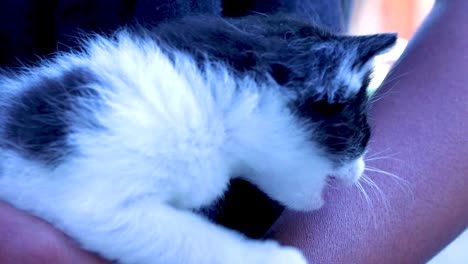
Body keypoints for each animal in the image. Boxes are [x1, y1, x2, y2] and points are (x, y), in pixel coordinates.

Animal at [0, 14, 396, 264]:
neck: (205, 101)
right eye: (363, 132)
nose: (363, 168)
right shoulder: (98, 182)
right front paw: (271, 259)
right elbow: (187, 238)